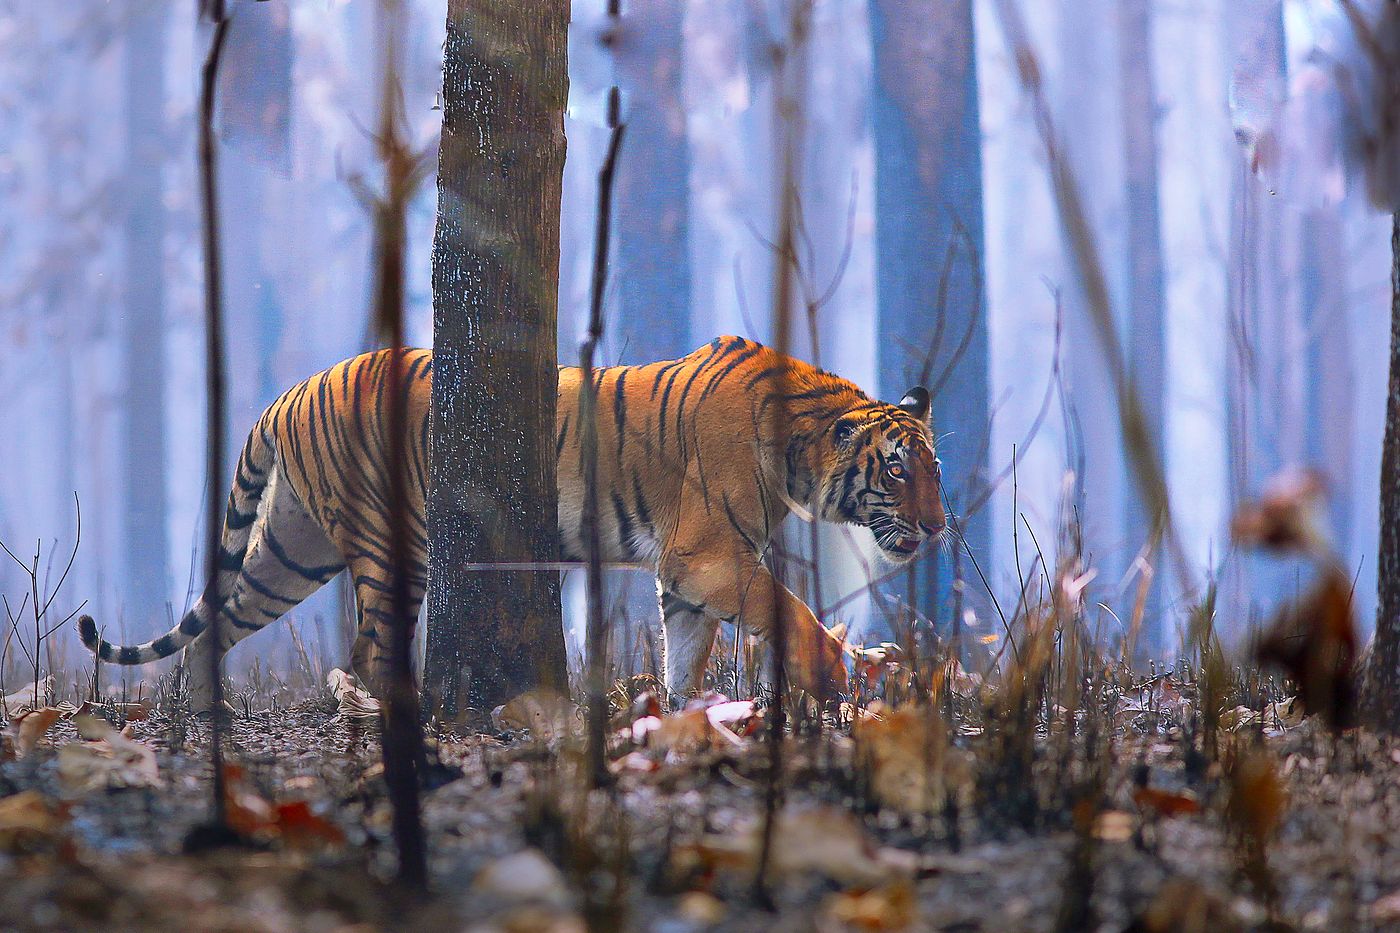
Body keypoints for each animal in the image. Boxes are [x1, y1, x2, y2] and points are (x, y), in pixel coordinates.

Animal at [78, 336, 946, 712]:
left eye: (935, 468)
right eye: (898, 470)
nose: (939, 529)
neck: (799, 448)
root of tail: (293, 389)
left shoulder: (689, 575)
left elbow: (686, 652)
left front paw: (681, 718)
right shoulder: (707, 553)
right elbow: (789, 612)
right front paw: (844, 676)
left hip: (291, 551)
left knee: (221, 621)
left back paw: (206, 715)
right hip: (388, 544)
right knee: (368, 650)